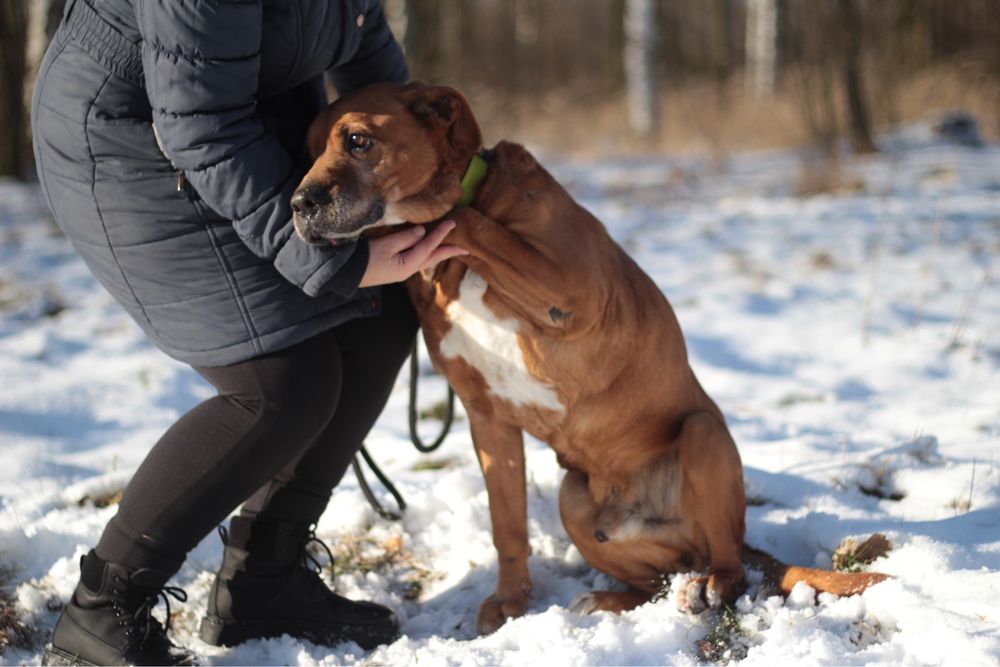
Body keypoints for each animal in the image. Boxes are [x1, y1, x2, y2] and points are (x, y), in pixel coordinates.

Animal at [292, 81, 888, 636]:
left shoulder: (572, 292)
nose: (299, 206)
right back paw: (609, 599)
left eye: (359, 140)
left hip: (703, 435)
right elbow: (506, 525)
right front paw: (510, 602)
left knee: (731, 566)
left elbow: (463, 221)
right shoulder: (487, 420)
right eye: (308, 152)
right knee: (654, 581)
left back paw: (711, 585)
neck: (456, 266)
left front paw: (443, 221)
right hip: (574, 500)